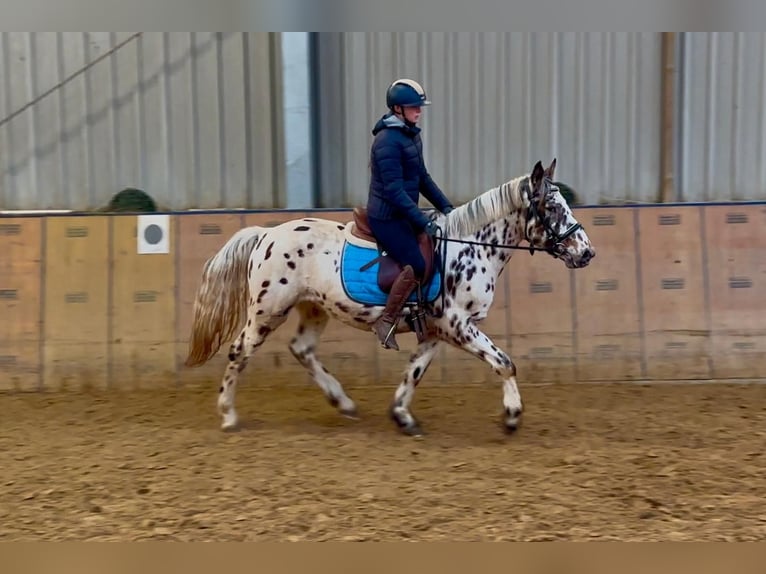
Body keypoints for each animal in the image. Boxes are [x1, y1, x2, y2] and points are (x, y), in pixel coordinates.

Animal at [188, 158, 600, 436]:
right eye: (552, 207)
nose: (586, 252)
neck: (472, 246)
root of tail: (266, 234)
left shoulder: (438, 330)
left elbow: (414, 372)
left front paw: (402, 415)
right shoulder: (457, 324)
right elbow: (505, 363)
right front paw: (512, 415)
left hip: (313, 307)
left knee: (301, 349)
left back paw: (343, 402)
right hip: (267, 310)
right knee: (239, 352)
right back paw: (228, 415)